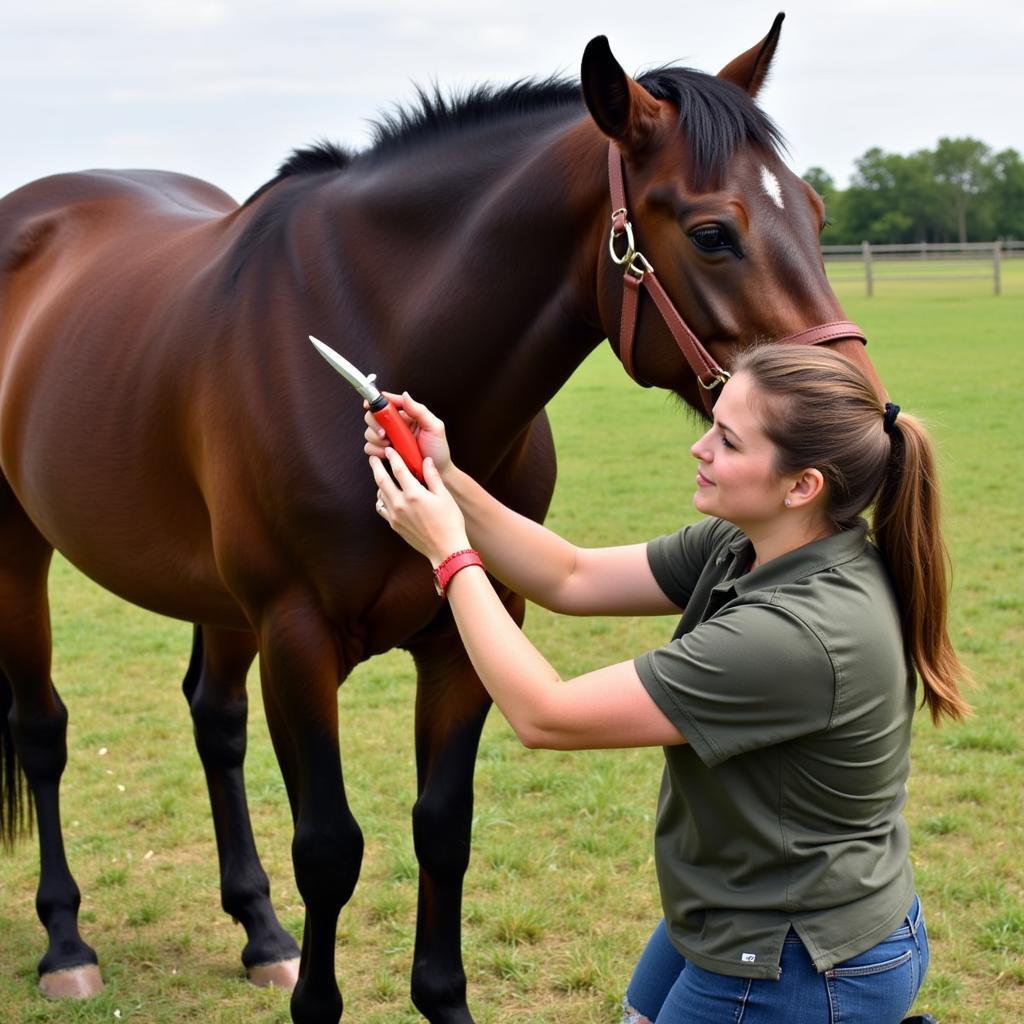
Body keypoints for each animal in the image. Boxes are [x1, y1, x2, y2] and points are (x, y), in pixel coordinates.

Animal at [0, 18, 880, 1024]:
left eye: (814, 213)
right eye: (711, 231)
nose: (868, 421)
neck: (370, 318)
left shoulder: (470, 633)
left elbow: (442, 827)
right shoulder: (296, 637)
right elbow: (330, 847)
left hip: (220, 604)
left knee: (213, 723)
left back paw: (263, 933)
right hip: (23, 553)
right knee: (42, 731)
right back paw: (67, 944)